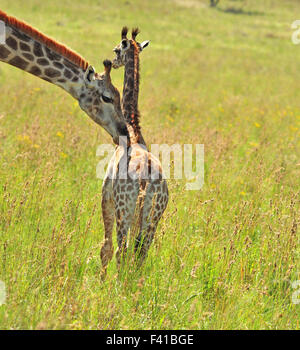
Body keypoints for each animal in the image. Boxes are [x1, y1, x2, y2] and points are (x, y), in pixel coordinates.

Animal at [99, 27, 168, 274]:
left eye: (116, 50)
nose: (113, 61)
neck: (134, 132)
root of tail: (145, 183)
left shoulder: (106, 197)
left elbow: (106, 248)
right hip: (152, 219)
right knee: (141, 254)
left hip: (125, 211)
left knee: (122, 250)